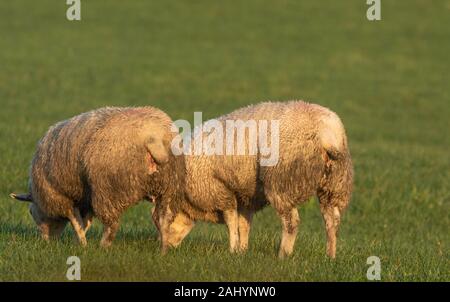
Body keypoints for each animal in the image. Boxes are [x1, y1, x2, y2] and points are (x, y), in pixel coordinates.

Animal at [11, 107, 186, 247]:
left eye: (31, 213)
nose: (46, 241)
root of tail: (153, 139)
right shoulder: (86, 197)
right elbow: (84, 222)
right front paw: (80, 242)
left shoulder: (61, 197)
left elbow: (75, 221)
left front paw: (82, 243)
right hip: (168, 187)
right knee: (163, 218)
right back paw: (163, 246)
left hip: (108, 190)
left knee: (112, 224)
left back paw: (103, 246)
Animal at [156, 100, 354, 258]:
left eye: (160, 223)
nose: (164, 250)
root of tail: (327, 134)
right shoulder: (246, 196)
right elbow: (243, 224)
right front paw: (242, 251)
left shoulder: (221, 192)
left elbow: (231, 222)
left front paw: (233, 250)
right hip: (336, 184)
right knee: (332, 221)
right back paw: (330, 256)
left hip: (282, 181)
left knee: (291, 222)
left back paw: (283, 255)